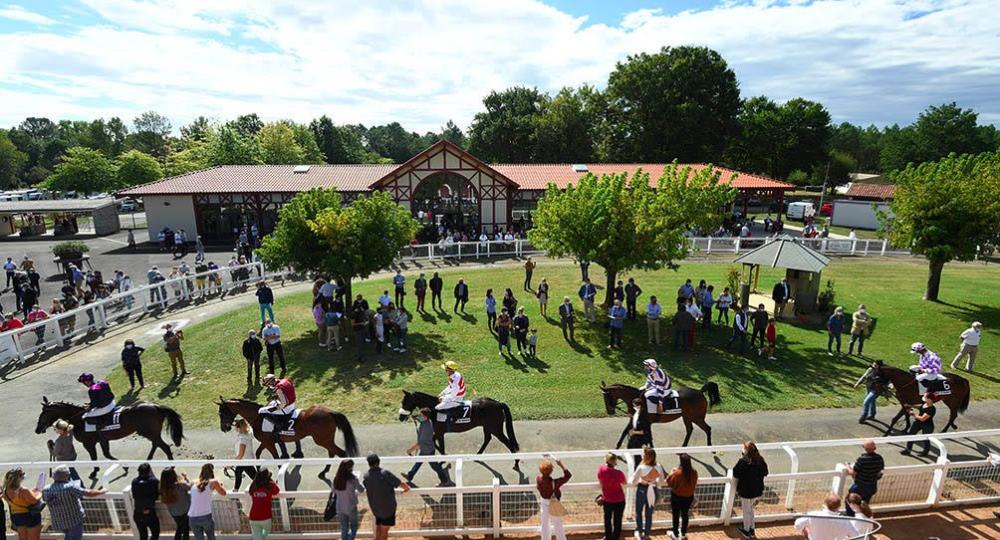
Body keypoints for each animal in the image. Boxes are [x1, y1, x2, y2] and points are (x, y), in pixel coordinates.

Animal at [35, 394, 184, 478]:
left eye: (44, 413)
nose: (37, 429)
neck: (80, 419)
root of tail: (156, 406)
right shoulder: (102, 440)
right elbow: (107, 454)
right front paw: (124, 466)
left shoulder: (89, 443)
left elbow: (95, 458)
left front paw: (95, 471)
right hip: (149, 432)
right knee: (156, 444)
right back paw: (148, 460)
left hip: (149, 432)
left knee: (164, 446)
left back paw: (171, 466)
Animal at [217, 396, 362, 476]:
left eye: (221, 413)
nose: (224, 428)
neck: (257, 416)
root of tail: (330, 412)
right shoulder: (267, 442)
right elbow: (258, 454)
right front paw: (258, 468)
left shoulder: (268, 443)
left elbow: (275, 457)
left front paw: (281, 470)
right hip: (326, 439)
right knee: (332, 452)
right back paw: (324, 471)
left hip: (322, 439)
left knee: (341, 452)